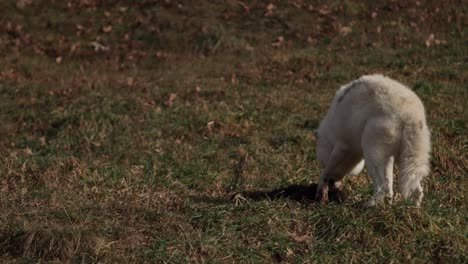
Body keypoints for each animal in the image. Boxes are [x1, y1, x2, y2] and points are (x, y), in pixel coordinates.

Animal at [316, 74, 430, 206]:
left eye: (322, 163)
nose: (334, 186)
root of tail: (410, 115)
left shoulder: (341, 146)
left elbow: (326, 172)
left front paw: (321, 193)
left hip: (373, 154)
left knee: (383, 186)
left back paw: (368, 205)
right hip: (402, 164)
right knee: (410, 190)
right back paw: (410, 208)